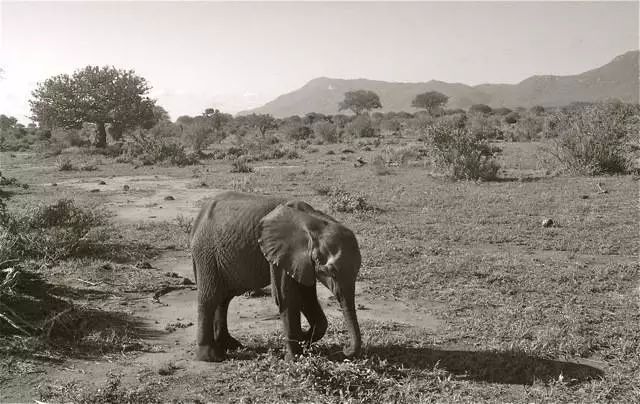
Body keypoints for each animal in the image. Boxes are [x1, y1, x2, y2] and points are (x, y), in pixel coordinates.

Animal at [189, 191, 360, 362]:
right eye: (331, 272)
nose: (344, 350)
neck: (315, 221)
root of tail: (199, 217)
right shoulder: (281, 252)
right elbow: (286, 297)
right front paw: (295, 357)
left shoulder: (300, 260)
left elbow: (306, 295)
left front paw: (305, 340)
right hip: (206, 253)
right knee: (210, 297)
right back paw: (211, 356)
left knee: (224, 298)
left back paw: (230, 345)